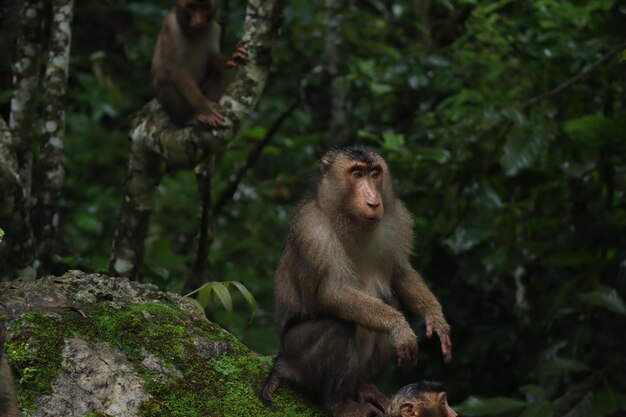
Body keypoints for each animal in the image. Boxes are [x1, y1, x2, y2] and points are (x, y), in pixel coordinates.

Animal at [260, 146, 450, 416]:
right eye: (357, 174)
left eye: (375, 173)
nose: (373, 201)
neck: (349, 219)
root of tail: (284, 360)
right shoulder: (313, 230)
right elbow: (332, 292)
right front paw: (399, 327)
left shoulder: (398, 220)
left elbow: (400, 273)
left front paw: (436, 317)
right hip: (297, 355)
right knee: (338, 326)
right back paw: (339, 404)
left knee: (391, 301)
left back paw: (365, 386)